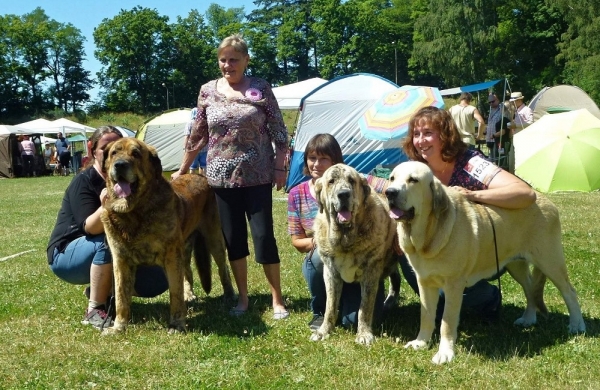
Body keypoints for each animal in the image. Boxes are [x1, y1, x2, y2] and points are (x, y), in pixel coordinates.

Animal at [102, 136, 233, 332]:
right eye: (114, 153)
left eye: (136, 154)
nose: (119, 165)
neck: (135, 212)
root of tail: (201, 176)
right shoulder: (120, 260)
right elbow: (120, 297)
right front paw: (119, 326)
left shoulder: (171, 257)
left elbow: (175, 293)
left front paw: (177, 324)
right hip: (185, 247)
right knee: (188, 271)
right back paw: (189, 294)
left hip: (214, 239)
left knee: (223, 268)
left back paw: (230, 296)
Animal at [310, 164, 398, 344]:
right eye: (331, 181)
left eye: (351, 181)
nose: (343, 194)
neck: (345, 240)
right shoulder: (330, 273)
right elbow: (330, 306)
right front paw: (323, 331)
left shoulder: (370, 273)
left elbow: (364, 308)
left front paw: (364, 334)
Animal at [384, 160, 584, 364]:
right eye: (392, 178)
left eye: (413, 180)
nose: (389, 192)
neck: (427, 233)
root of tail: (545, 199)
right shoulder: (425, 282)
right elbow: (426, 315)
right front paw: (421, 342)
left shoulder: (453, 285)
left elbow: (447, 322)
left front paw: (445, 353)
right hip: (516, 265)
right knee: (530, 288)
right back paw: (528, 319)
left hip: (550, 261)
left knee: (569, 292)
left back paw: (577, 325)